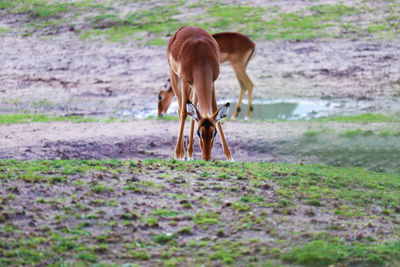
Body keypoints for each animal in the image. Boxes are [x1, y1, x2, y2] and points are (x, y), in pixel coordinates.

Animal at [167, 26, 233, 161]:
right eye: (199, 133)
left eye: (214, 133)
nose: (207, 158)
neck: (201, 56)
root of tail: (184, 28)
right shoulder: (185, 81)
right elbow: (184, 112)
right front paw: (178, 154)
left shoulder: (212, 82)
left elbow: (214, 109)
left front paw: (230, 157)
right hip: (175, 78)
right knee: (181, 110)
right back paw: (182, 153)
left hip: (195, 87)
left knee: (193, 110)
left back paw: (190, 153)